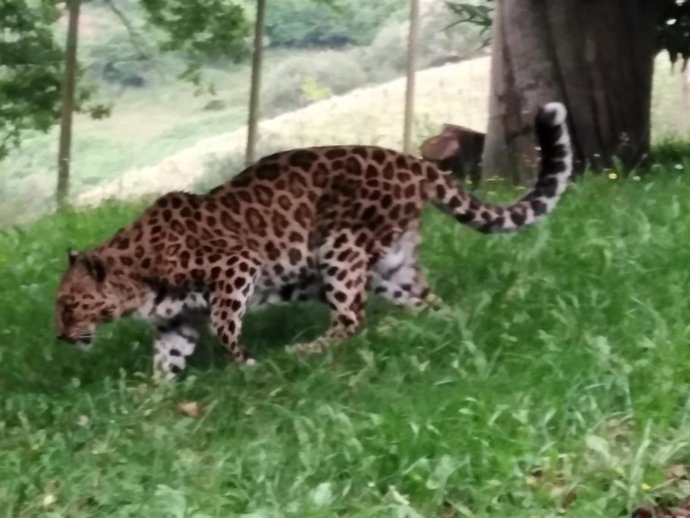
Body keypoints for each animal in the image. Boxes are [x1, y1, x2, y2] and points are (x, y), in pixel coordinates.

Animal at [54, 102, 573, 378]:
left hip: (341, 248)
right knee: (422, 302)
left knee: (350, 317)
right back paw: (434, 327)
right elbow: (168, 359)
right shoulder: (175, 322)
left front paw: (248, 367)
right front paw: (149, 399)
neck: (136, 276)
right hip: (390, 265)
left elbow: (225, 325)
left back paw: (304, 352)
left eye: (69, 304)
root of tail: (414, 162)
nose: (59, 337)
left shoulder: (236, 266)